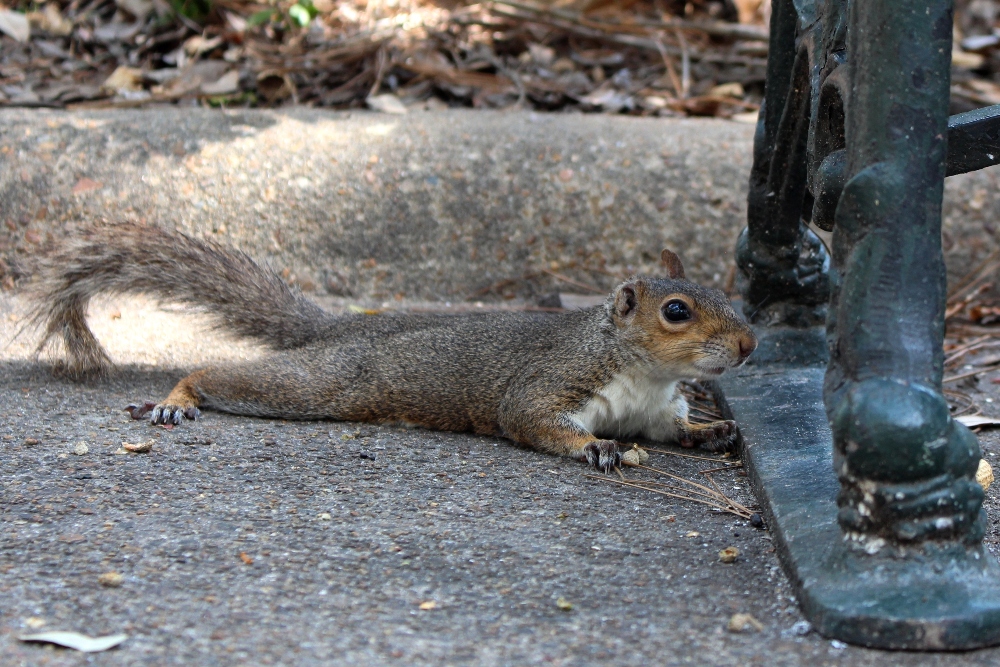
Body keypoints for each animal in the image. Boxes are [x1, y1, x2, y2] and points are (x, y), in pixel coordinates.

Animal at [29, 224, 756, 474]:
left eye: (726, 292)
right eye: (676, 310)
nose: (750, 344)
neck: (643, 373)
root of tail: (335, 331)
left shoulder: (656, 410)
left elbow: (672, 429)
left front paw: (713, 430)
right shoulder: (553, 379)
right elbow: (527, 418)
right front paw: (596, 447)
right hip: (321, 383)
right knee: (215, 371)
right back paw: (176, 398)